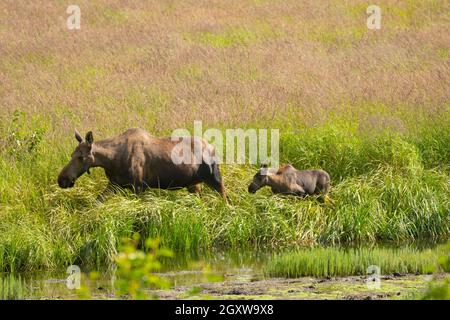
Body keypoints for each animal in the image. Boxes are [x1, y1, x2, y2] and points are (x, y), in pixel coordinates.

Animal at [58, 129, 227, 199]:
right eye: (72, 154)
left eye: (81, 157)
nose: (62, 179)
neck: (112, 160)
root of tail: (213, 147)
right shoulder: (114, 184)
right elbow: (97, 202)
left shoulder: (139, 186)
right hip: (194, 185)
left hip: (215, 179)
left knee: (226, 199)